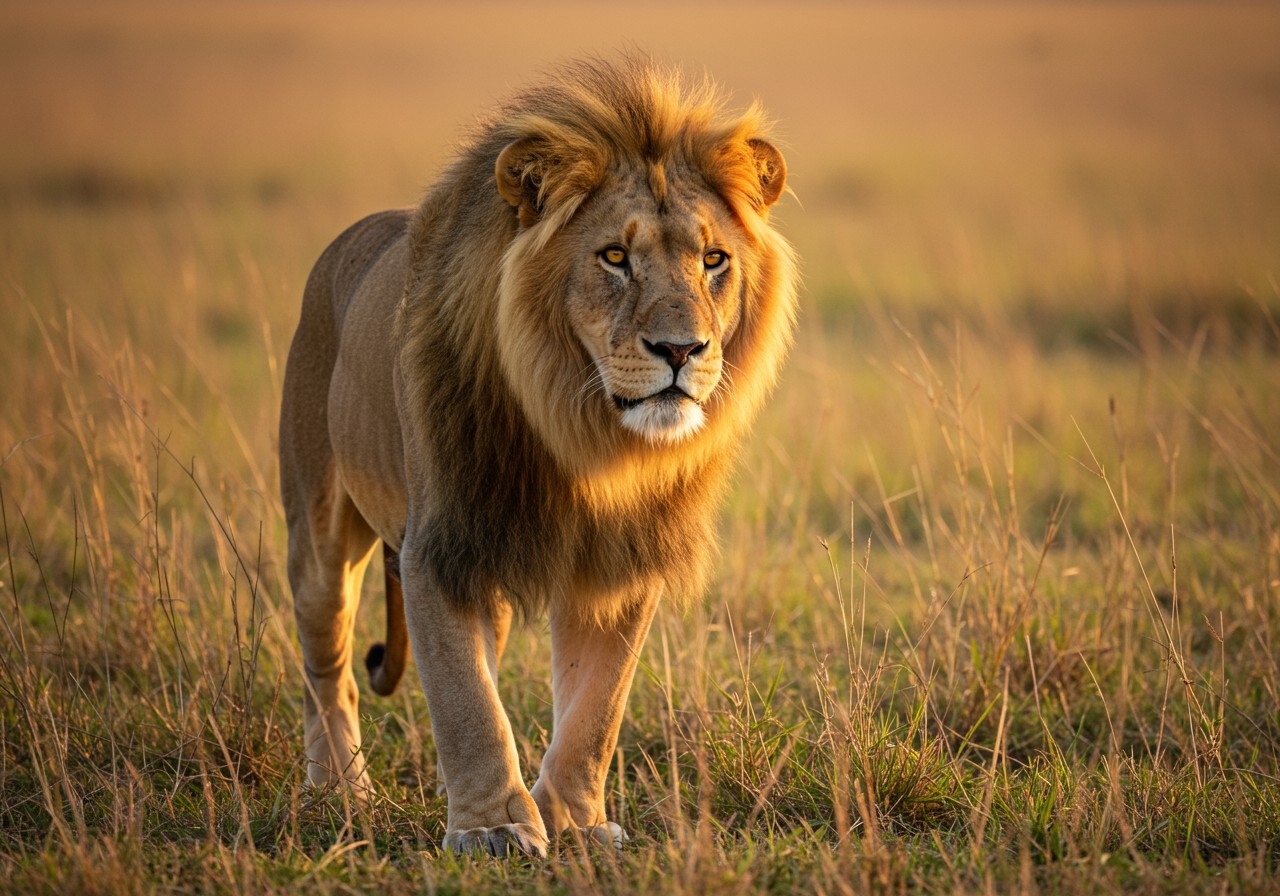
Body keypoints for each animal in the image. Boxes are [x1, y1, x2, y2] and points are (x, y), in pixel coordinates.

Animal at [278, 56, 797, 857]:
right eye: (614, 257)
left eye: (714, 260)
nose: (682, 350)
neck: (585, 437)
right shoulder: (441, 546)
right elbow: (466, 702)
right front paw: (493, 828)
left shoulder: (618, 563)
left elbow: (595, 711)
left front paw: (574, 821)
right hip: (319, 527)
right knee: (327, 664)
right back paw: (339, 789)